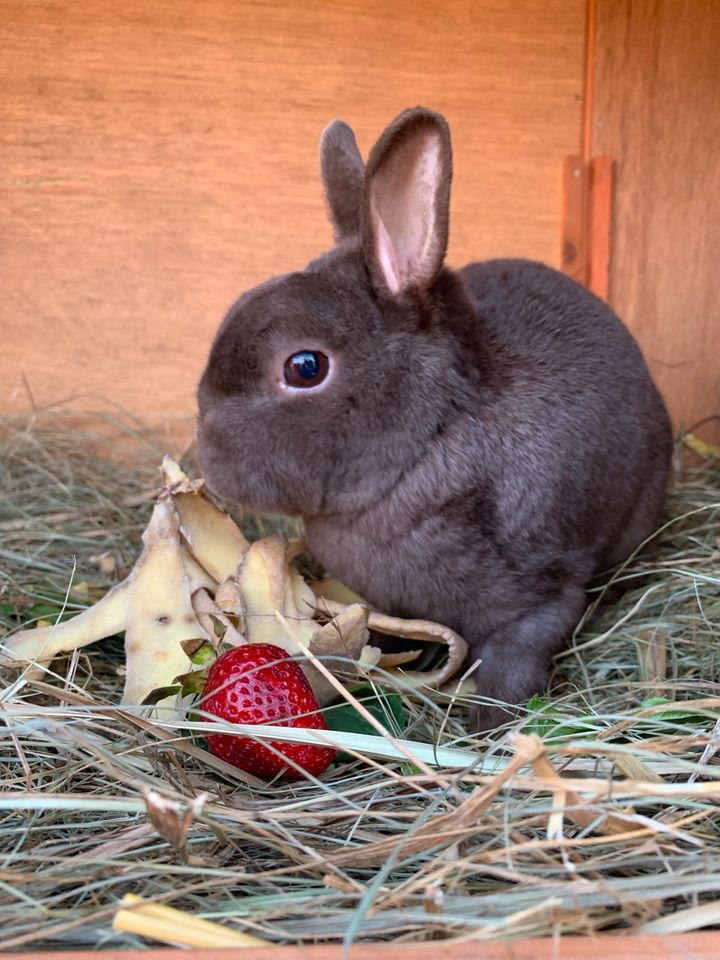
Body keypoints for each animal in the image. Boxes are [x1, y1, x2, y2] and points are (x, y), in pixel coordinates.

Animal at [194, 109, 672, 732]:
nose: (206, 450)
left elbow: (518, 656)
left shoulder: (542, 596)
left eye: (304, 367)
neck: (430, 439)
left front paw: (490, 724)